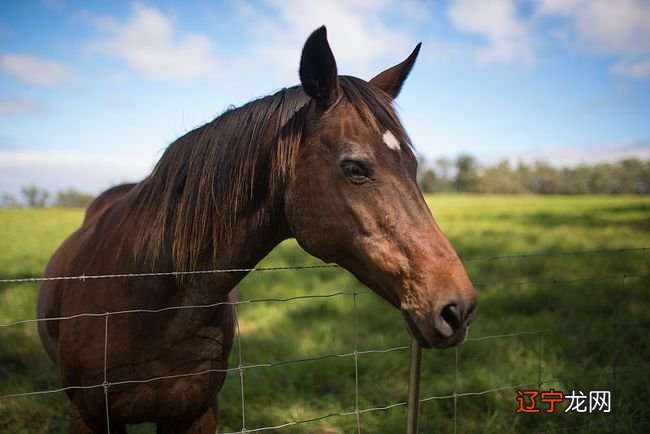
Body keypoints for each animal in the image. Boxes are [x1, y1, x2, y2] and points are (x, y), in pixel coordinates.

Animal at [38, 27, 476, 434]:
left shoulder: (195, 414)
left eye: (414, 166)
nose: (458, 308)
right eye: (355, 167)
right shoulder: (90, 417)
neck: (150, 300)